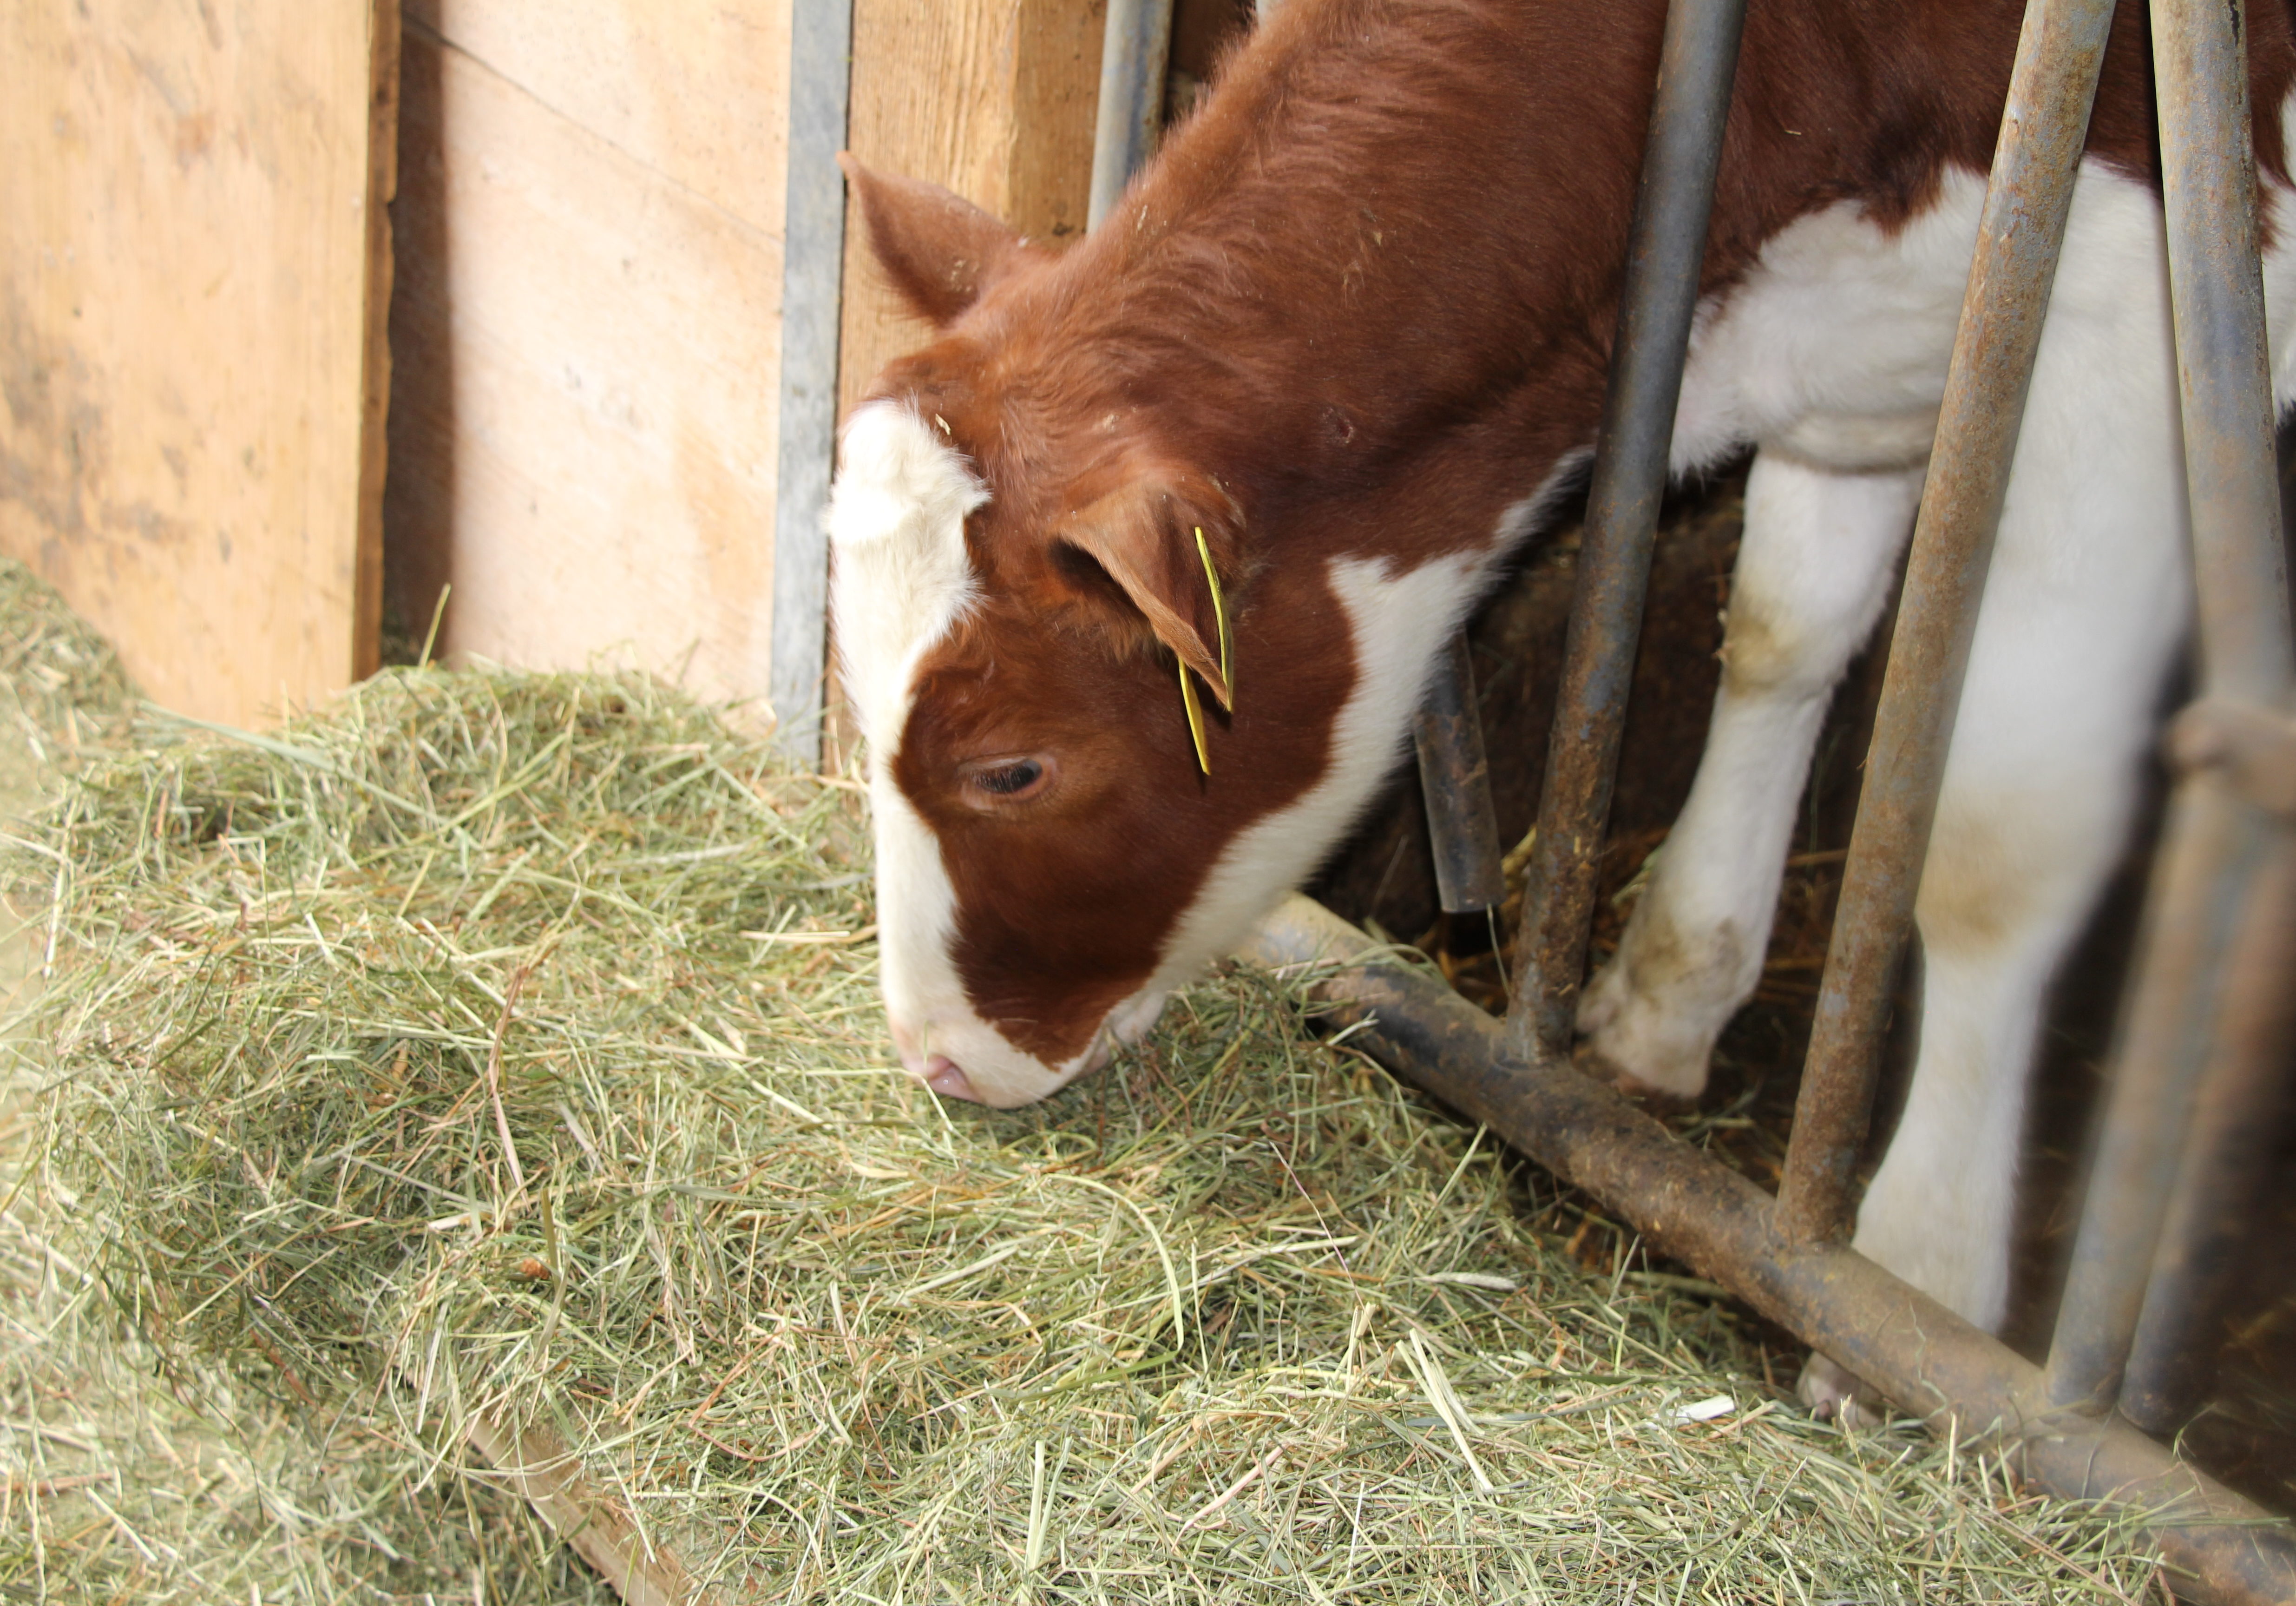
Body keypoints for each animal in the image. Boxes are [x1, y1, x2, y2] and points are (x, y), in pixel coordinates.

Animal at [822, 0, 2296, 1416]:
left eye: (1013, 767)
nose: (929, 1060)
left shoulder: (2118, 337)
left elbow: (1998, 841)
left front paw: (1918, 1283)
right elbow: (1783, 629)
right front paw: (1669, 992)